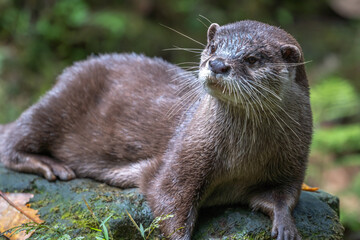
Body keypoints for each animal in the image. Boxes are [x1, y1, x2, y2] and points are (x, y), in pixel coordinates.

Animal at [0, 21, 310, 240]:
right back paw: (50, 165)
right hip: (60, 101)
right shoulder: (186, 154)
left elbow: (283, 197)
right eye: (213, 47)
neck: (243, 156)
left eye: (253, 59)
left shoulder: (293, 163)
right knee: (13, 137)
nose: (218, 63)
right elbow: (167, 198)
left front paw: (285, 225)